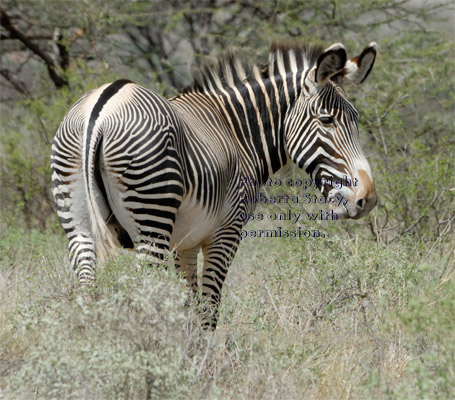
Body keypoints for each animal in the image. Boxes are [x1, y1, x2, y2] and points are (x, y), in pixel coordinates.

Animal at [50, 39, 378, 328]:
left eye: (356, 119)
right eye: (327, 120)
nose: (368, 199)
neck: (237, 131)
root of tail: (101, 109)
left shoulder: (185, 243)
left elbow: (189, 306)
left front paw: (190, 354)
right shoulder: (226, 231)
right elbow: (208, 309)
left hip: (76, 216)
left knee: (85, 286)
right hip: (151, 218)